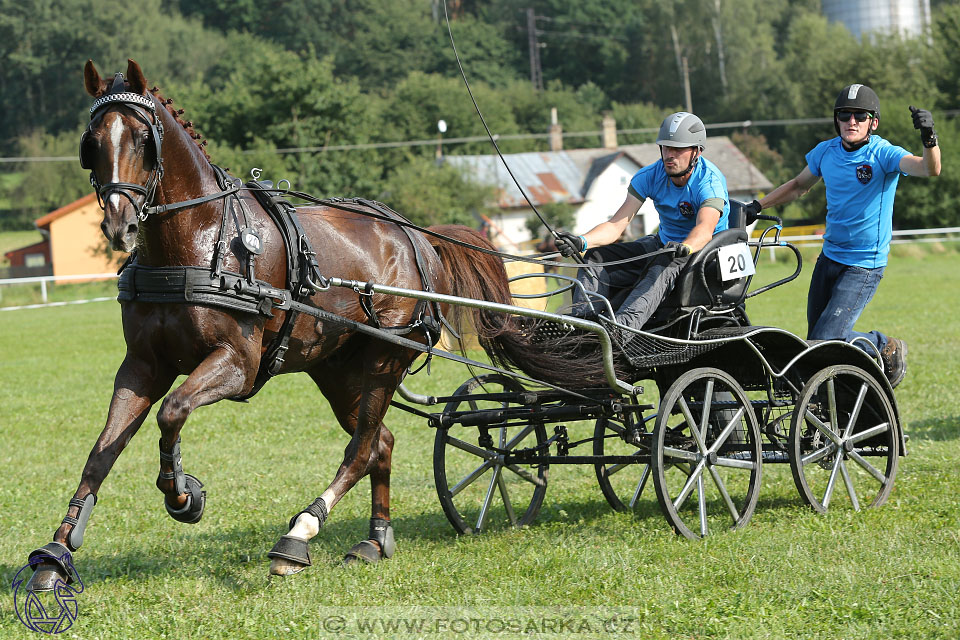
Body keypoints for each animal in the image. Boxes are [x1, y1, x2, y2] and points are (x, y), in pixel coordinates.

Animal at [26, 60, 584, 592]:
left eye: (144, 139)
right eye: (92, 143)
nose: (120, 226)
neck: (195, 245)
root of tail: (418, 238)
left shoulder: (237, 365)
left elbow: (173, 411)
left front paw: (183, 495)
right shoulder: (142, 365)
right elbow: (101, 452)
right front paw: (56, 556)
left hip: (385, 359)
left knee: (361, 449)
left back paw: (298, 536)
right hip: (336, 370)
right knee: (380, 442)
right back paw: (375, 539)